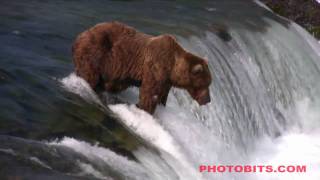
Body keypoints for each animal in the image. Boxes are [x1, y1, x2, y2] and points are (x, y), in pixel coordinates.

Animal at [73, 21, 212, 114]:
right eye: (205, 84)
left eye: (209, 83)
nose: (208, 100)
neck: (173, 67)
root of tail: (81, 34)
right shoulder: (156, 67)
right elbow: (150, 93)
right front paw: (145, 109)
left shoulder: (166, 80)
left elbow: (162, 94)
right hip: (97, 52)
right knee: (89, 74)